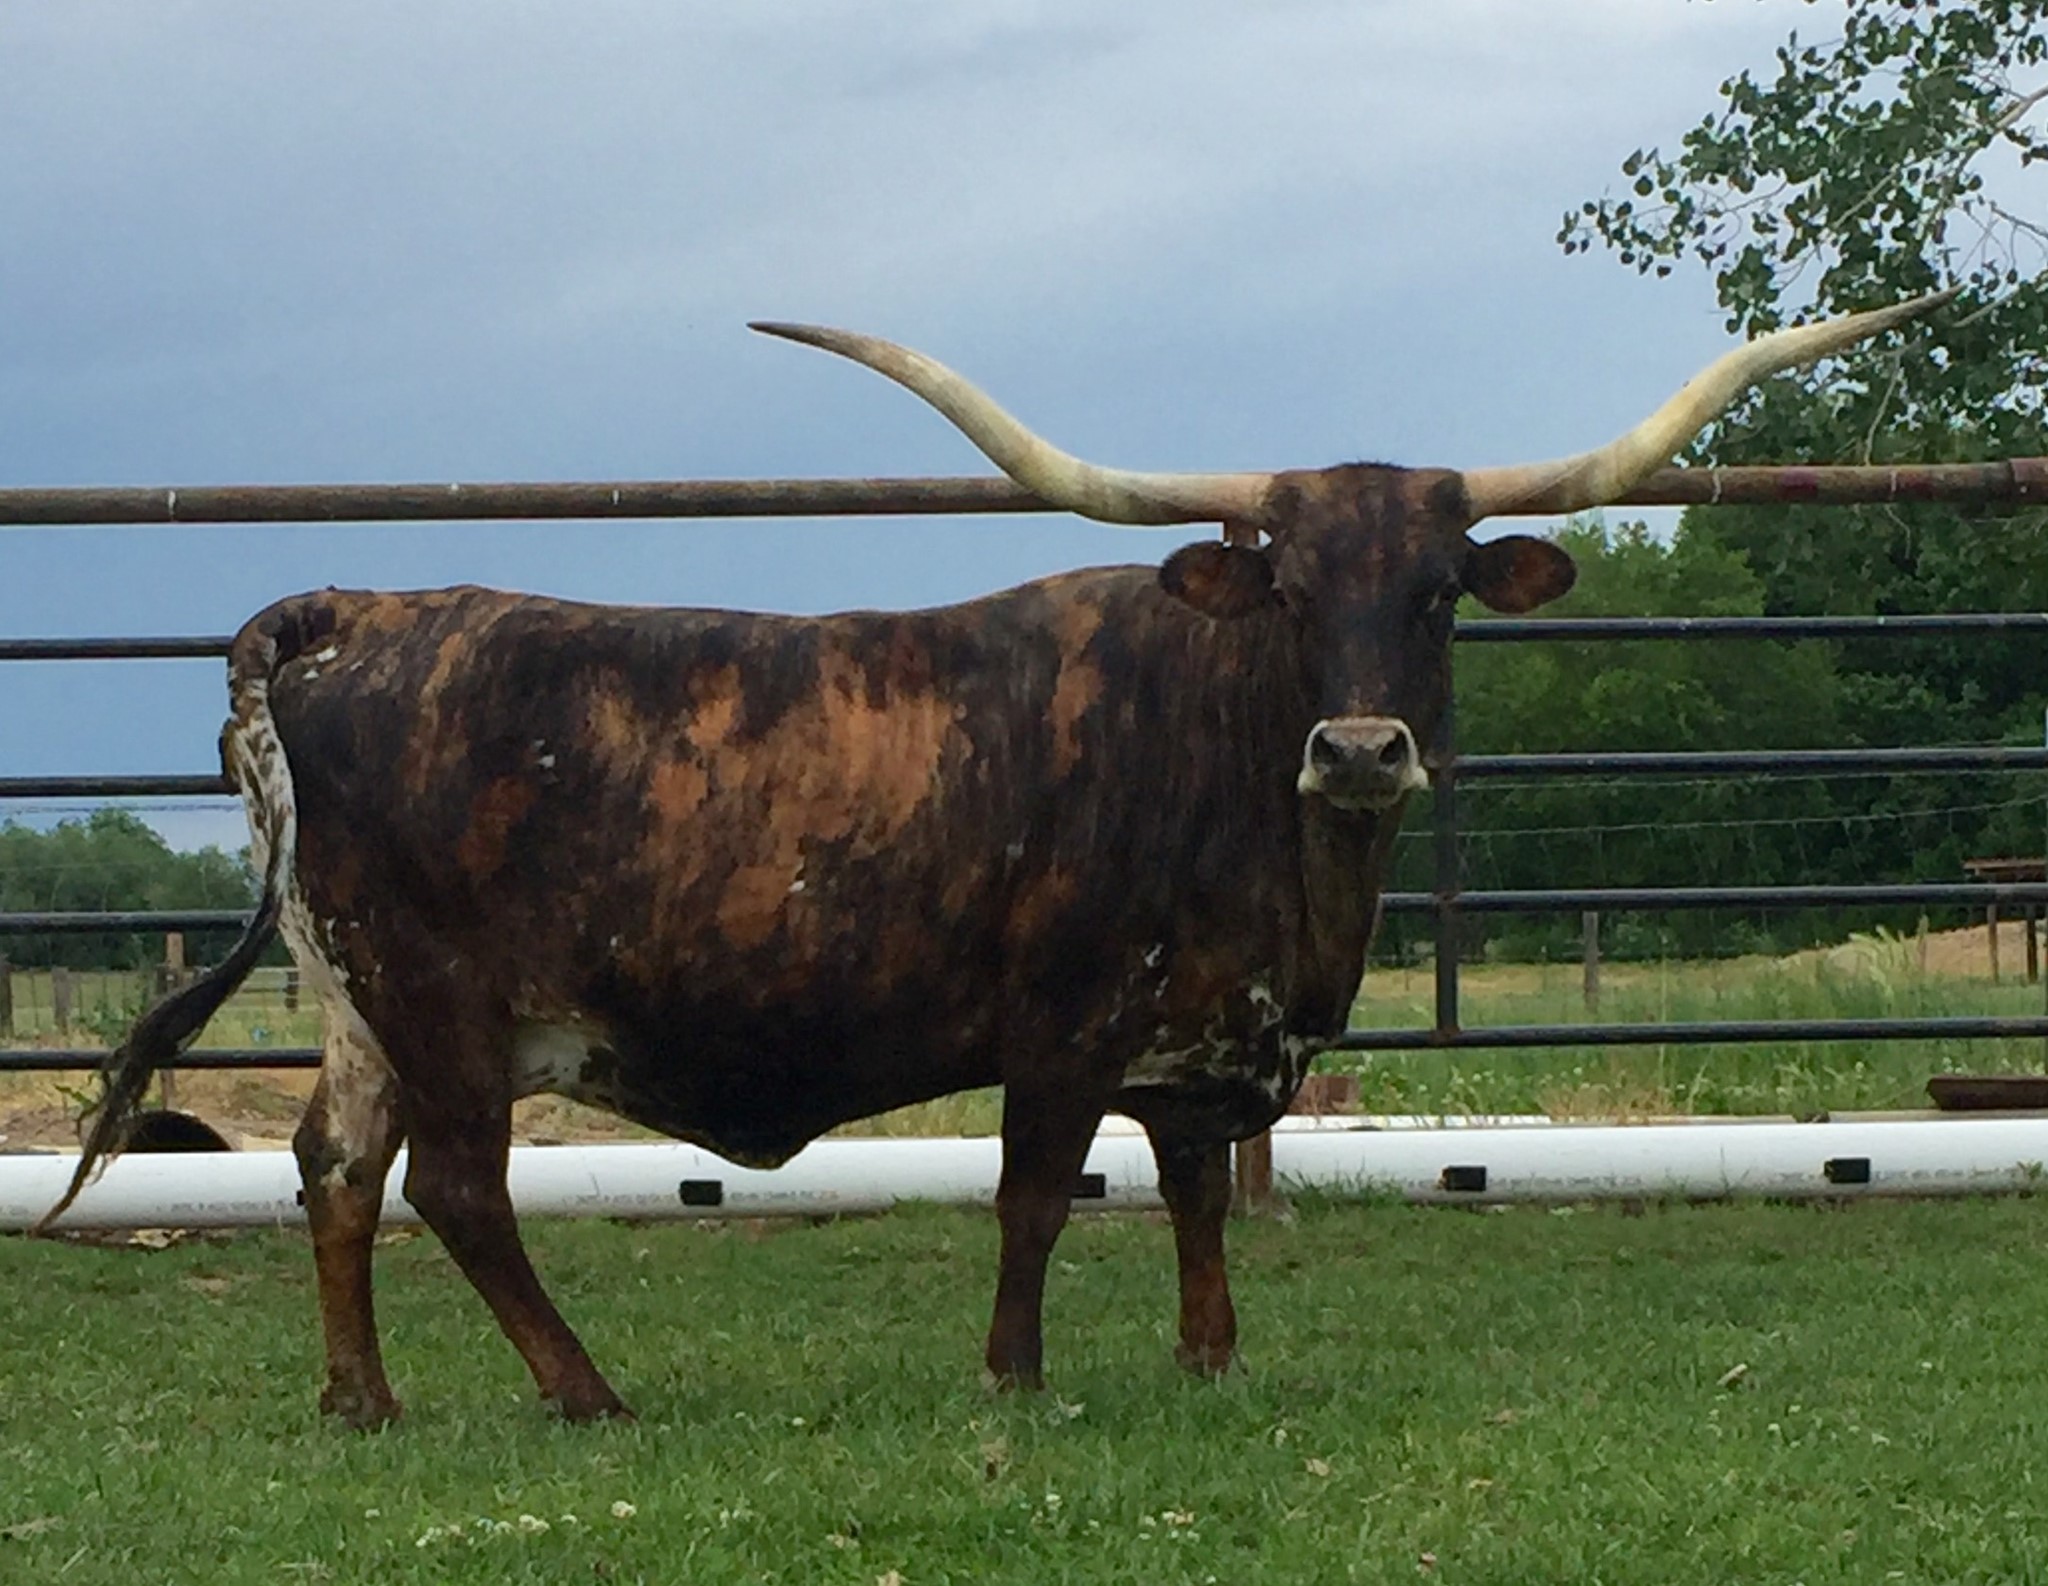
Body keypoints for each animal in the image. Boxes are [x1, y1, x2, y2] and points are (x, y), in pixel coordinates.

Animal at [42, 295, 1944, 1426]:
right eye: (1286, 587)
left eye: (1430, 591)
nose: (1357, 747)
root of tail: (352, 608)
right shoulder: (1059, 1018)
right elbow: (1038, 1194)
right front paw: (1015, 1380)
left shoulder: (1201, 1042)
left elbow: (1195, 1197)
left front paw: (1208, 1359)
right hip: (442, 1004)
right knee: (452, 1187)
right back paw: (585, 1393)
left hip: (358, 1001)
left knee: (331, 1171)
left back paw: (361, 1401)